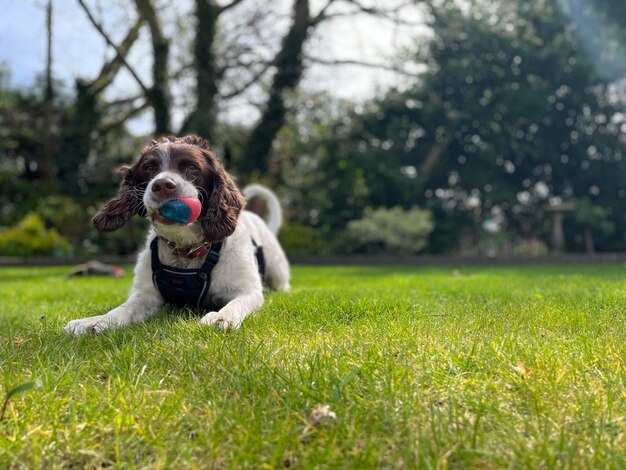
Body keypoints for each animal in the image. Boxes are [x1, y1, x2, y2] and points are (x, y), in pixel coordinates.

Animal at [64, 134, 288, 336]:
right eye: (149, 168)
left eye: (192, 167)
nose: (162, 185)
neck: (186, 249)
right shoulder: (145, 294)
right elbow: (122, 310)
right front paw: (94, 321)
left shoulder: (248, 290)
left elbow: (236, 304)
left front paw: (221, 317)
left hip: (277, 269)